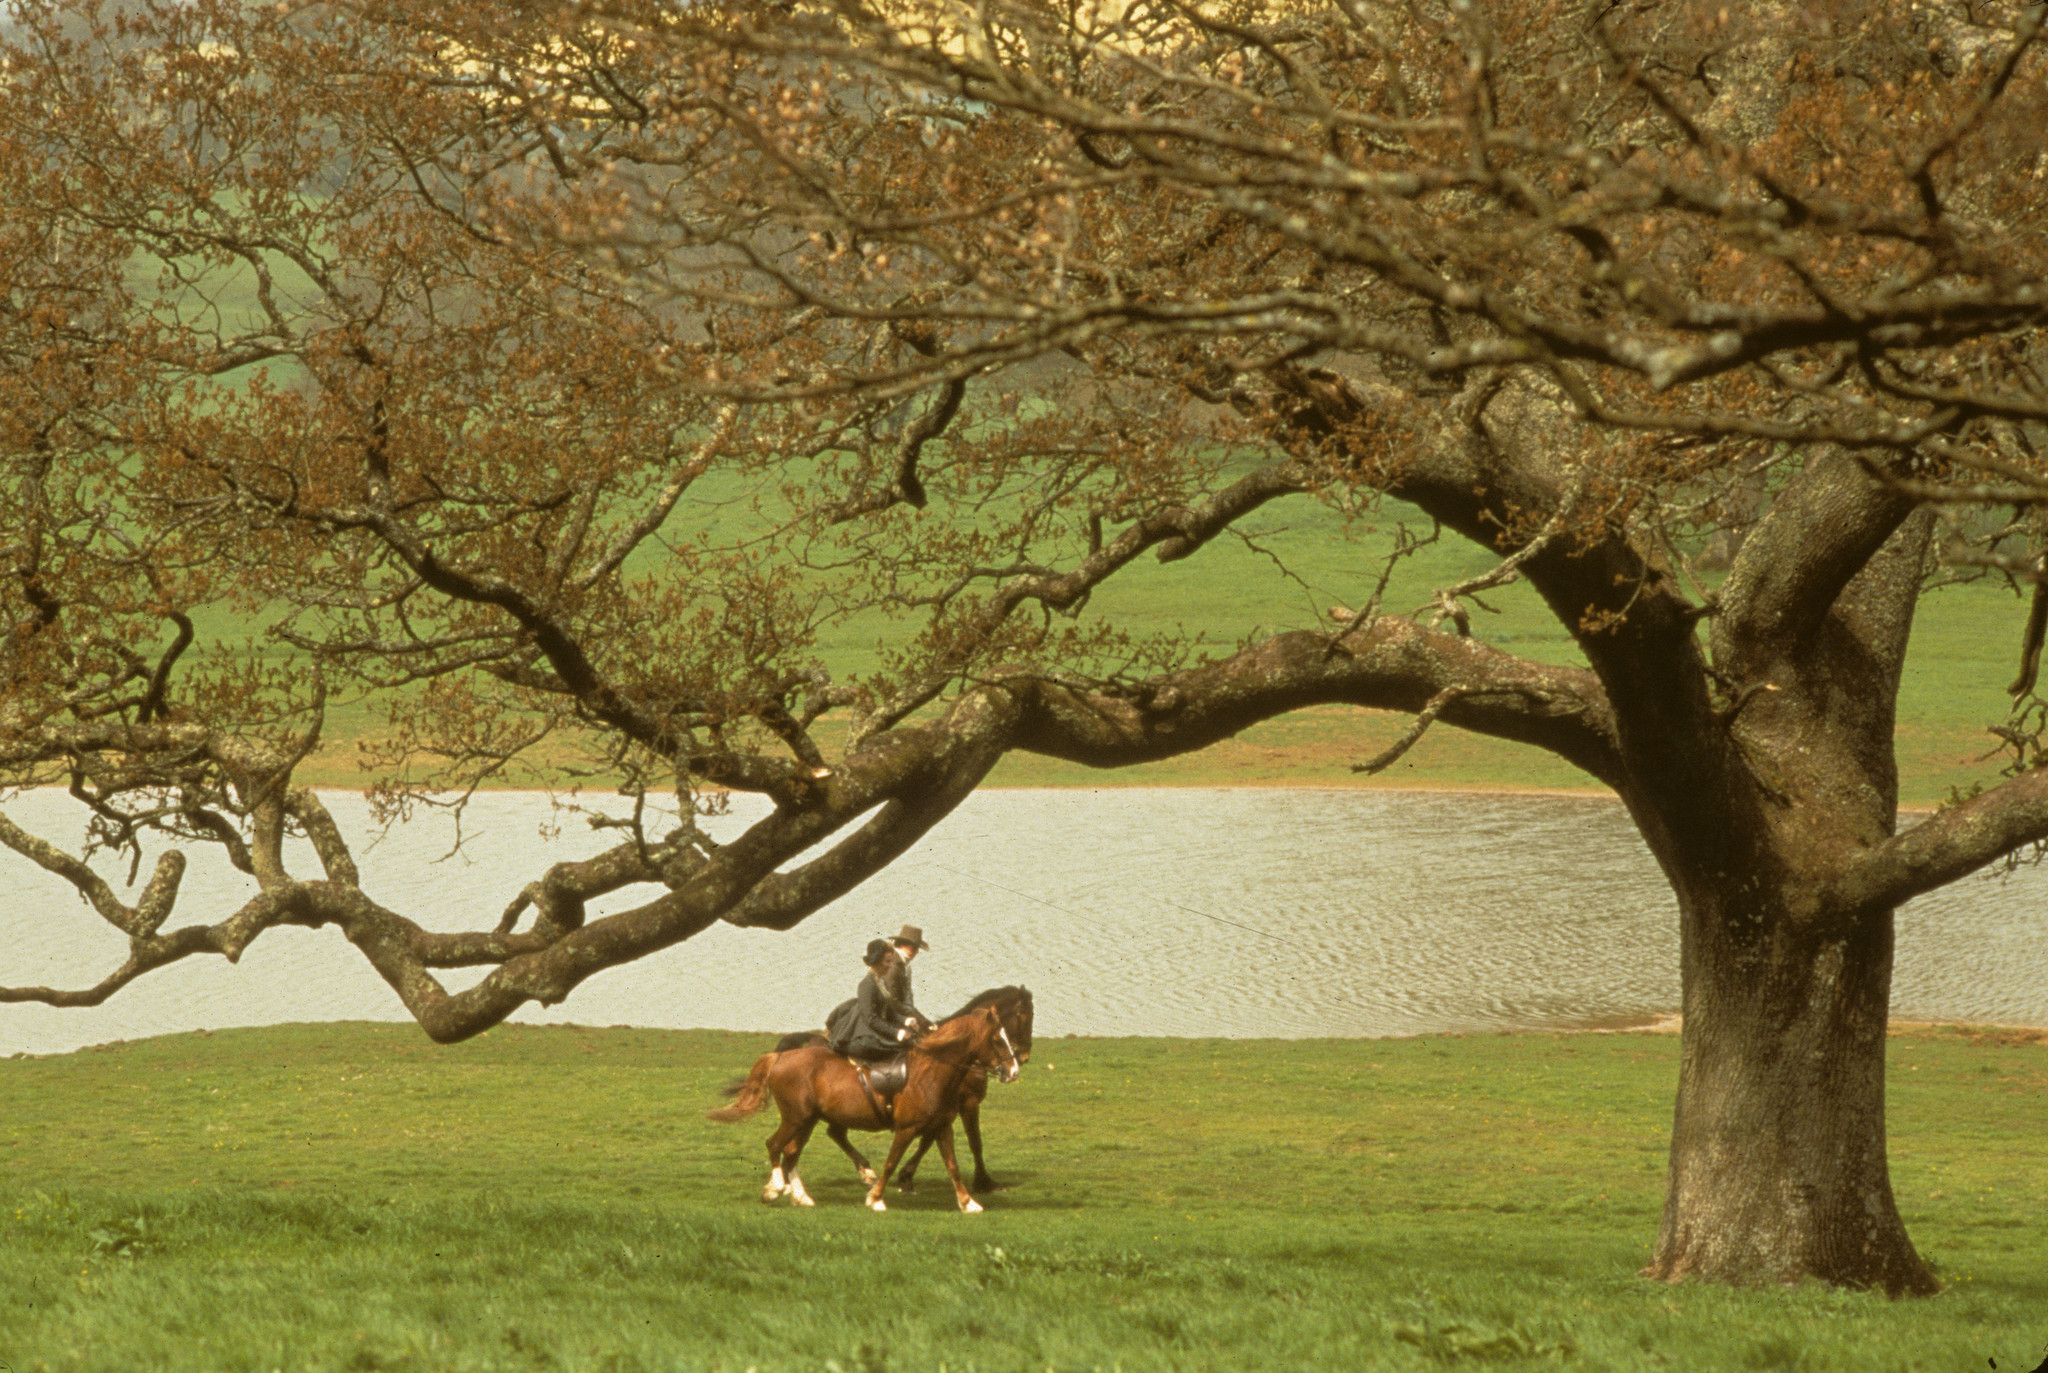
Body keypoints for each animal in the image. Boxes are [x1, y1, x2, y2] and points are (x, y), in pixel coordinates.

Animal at [712, 995, 1024, 1213]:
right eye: (997, 1039)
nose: (1014, 1071)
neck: (931, 1070)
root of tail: (780, 1057)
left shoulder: (941, 1127)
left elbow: (952, 1166)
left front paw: (968, 1203)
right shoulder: (907, 1128)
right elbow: (891, 1162)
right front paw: (875, 1198)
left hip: (807, 1120)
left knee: (791, 1152)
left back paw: (801, 1196)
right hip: (796, 1118)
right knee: (776, 1146)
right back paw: (776, 1189)